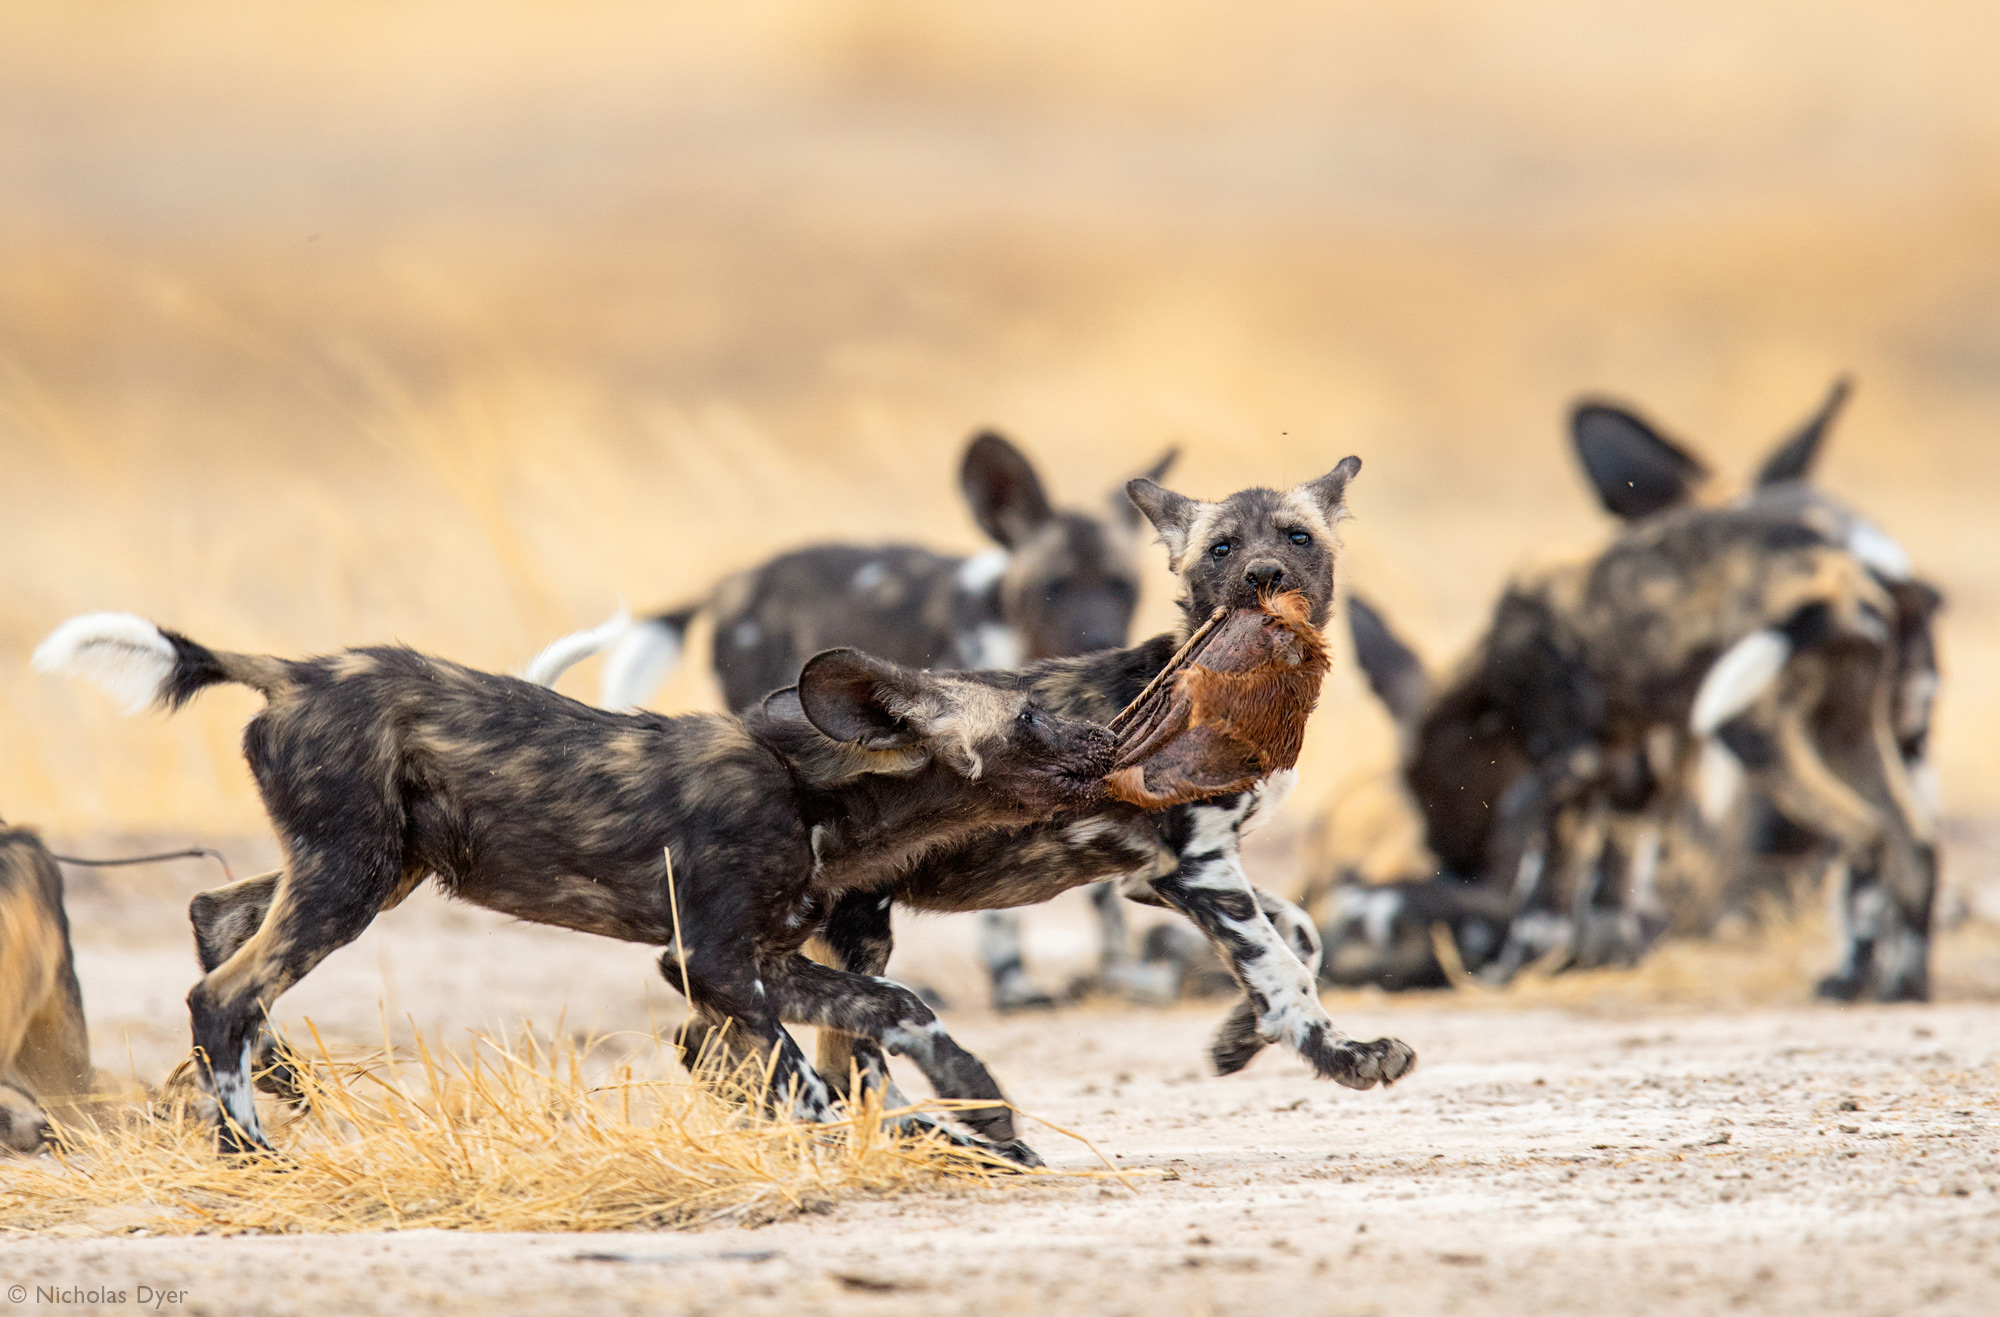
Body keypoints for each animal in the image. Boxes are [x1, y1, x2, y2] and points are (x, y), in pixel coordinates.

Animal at [39, 608, 1120, 1152]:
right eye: (1031, 719)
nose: (1111, 739)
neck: (814, 790)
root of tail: (293, 671)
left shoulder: (765, 958)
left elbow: (899, 1010)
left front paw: (984, 1114)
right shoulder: (708, 961)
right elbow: (802, 1076)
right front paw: (846, 1149)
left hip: (373, 872)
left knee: (219, 919)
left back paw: (275, 1089)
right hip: (349, 882)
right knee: (222, 993)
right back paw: (249, 1147)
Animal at [540, 428, 1176, 1004]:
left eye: (1123, 587)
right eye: (1053, 587)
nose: (1097, 639)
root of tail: (734, 582)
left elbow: (1105, 882)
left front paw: (1119, 970)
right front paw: (1013, 982)